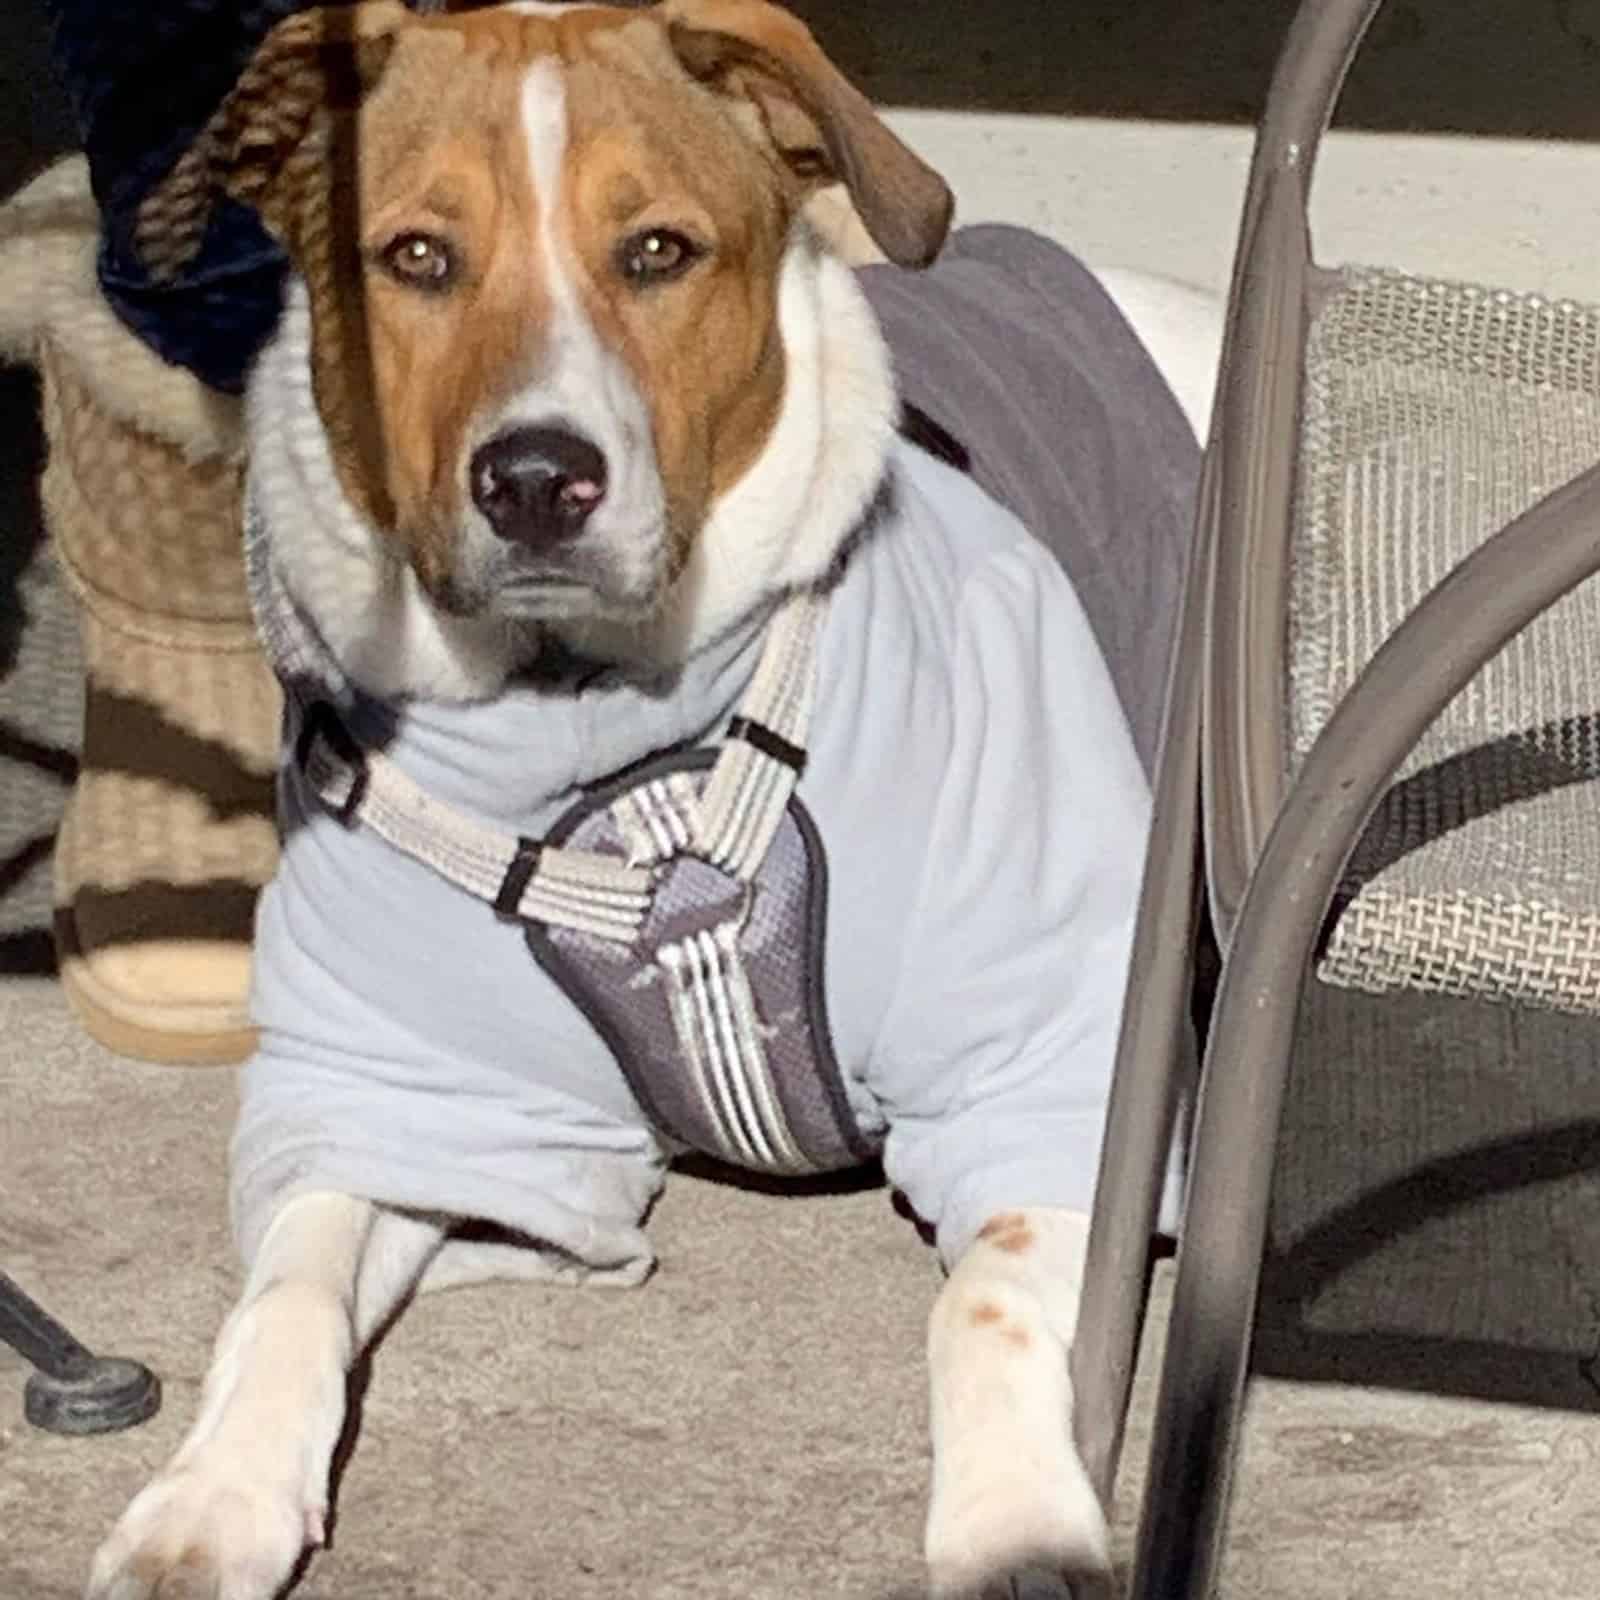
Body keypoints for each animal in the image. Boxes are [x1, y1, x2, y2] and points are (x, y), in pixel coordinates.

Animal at [87, 3, 1216, 1600]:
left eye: (660, 252)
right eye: (415, 256)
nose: (536, 479)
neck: (609, 742)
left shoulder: (1046, 1074)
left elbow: (973, 1309)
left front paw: (1014, 1526)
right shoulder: (403, 1096)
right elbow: (286, 1291)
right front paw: (210, 1496)